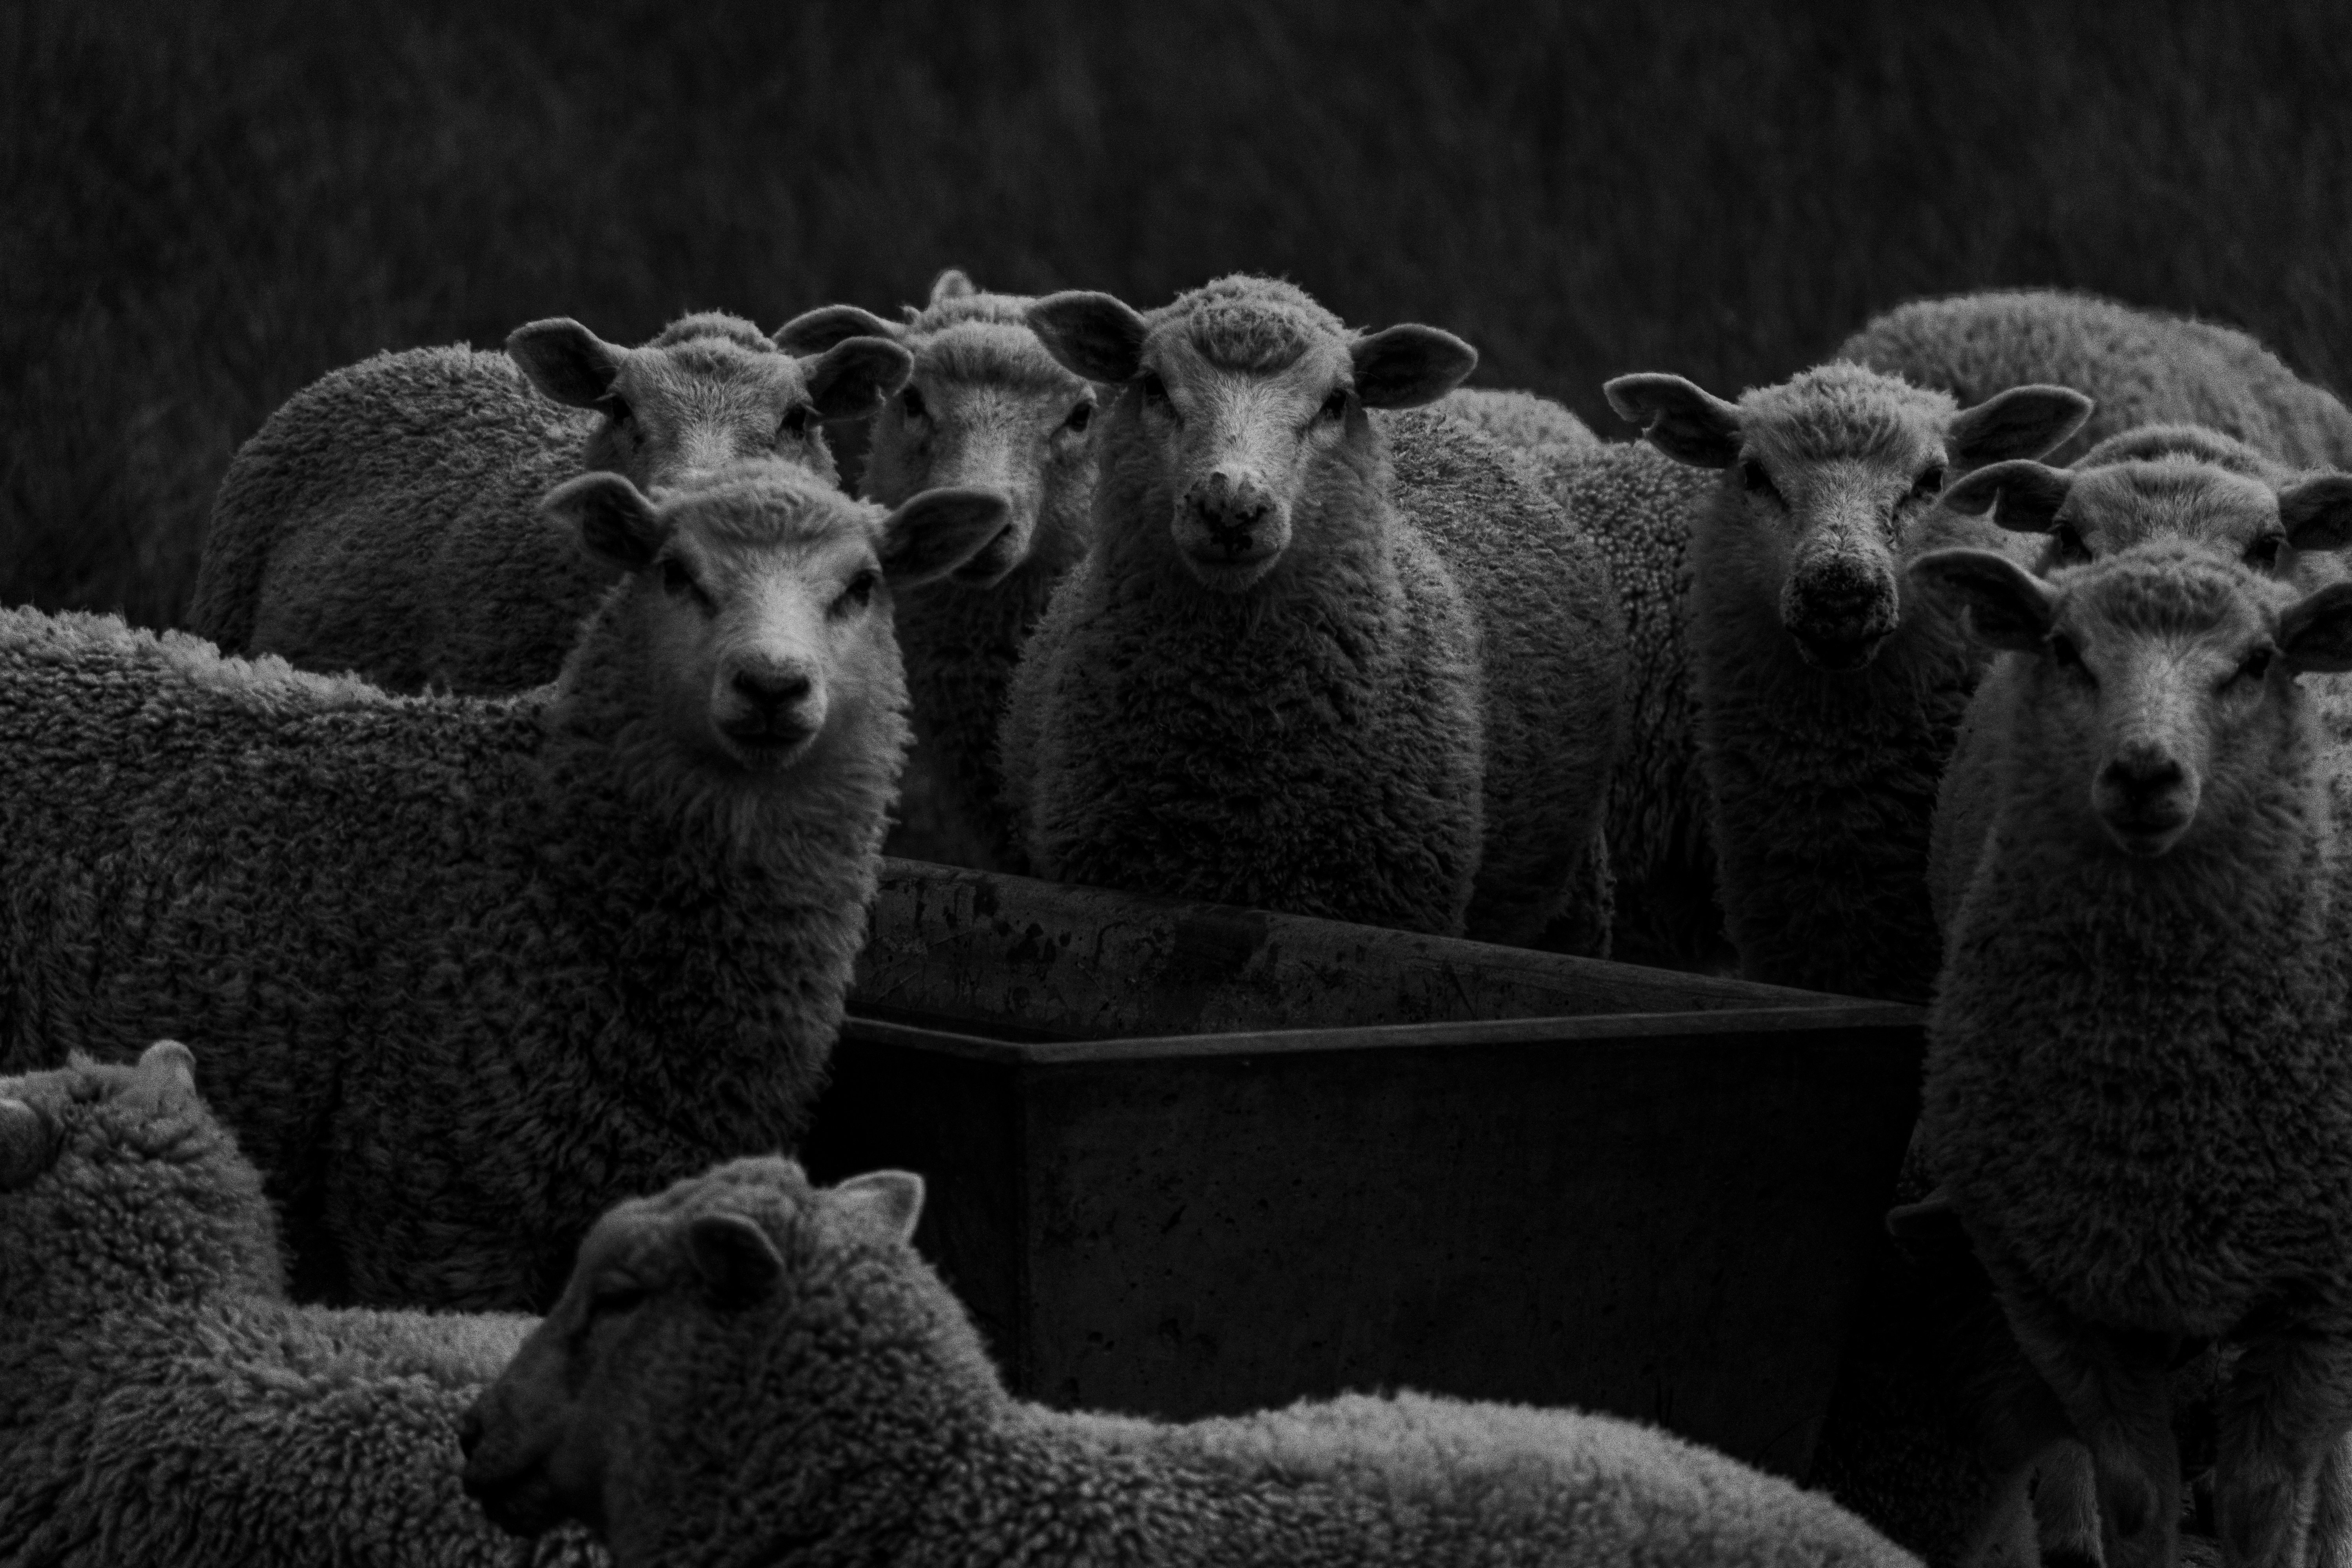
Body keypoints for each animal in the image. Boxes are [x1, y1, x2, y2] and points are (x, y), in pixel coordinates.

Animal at [1909, 538, 2352, 1568]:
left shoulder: (2320, 1295)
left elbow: (2264, 1499)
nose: (2145, 772)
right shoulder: (2058, 1287)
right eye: (2066, 650)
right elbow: (2137, 1493)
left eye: (2258, 661)